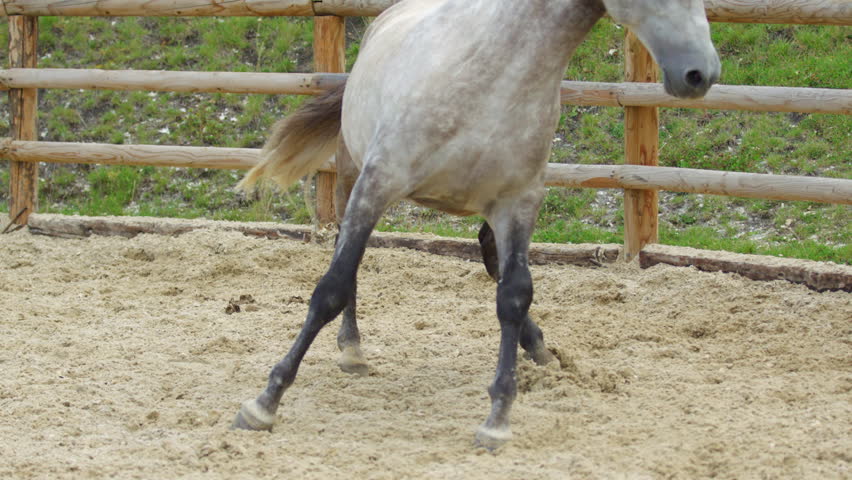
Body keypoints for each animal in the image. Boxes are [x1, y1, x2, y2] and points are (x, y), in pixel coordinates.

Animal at [232, 0, 721, 449]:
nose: (701, 73)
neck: (494, 76)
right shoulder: (377, 183)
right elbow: (331, 288)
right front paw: (263, 404)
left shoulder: (518, 203)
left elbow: (514, 295)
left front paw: (498, 419)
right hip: (352, 175)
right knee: (346, 260)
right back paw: (352, 350)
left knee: (490, 257)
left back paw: (538, 349)